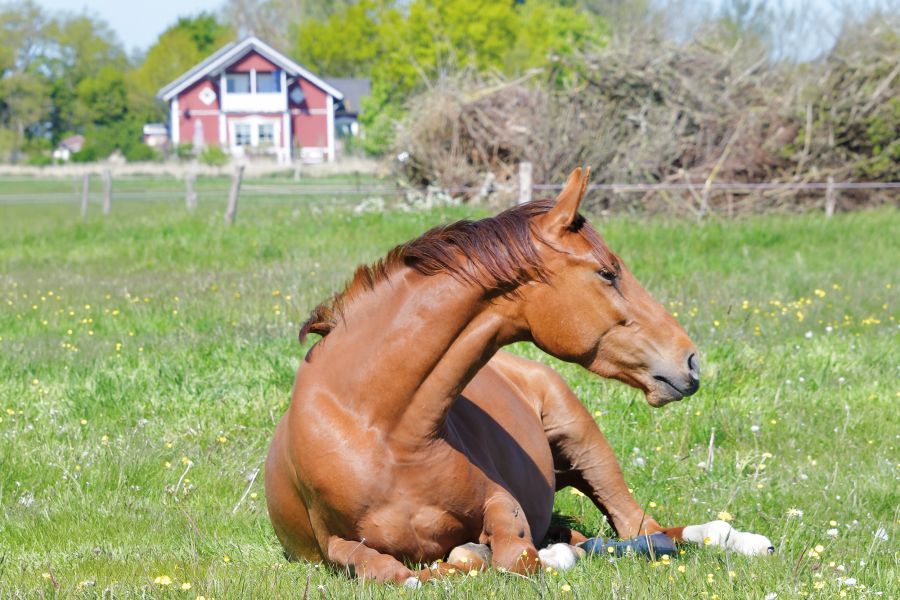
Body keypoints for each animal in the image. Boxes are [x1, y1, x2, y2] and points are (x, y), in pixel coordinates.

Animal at [264, 167, 773, 585]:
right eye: (606, 273)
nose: (690, 362)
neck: (381, 430)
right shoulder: (336, 546)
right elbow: (401, 573)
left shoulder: (499, 501)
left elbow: (512, 556)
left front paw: (539, 555)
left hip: (584, 441)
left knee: (648, 531)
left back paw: (741, 540)